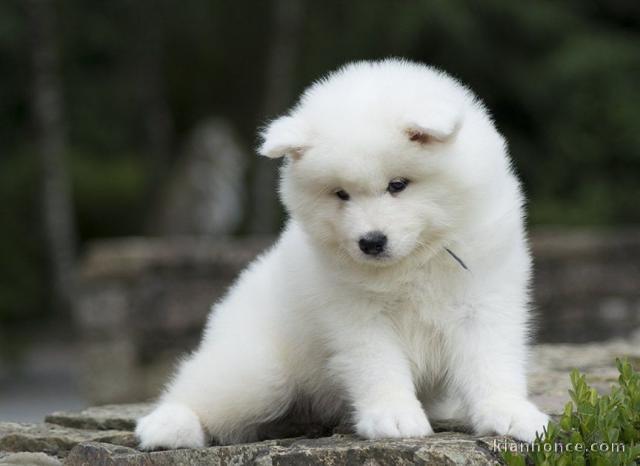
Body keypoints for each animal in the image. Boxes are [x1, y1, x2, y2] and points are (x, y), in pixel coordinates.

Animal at [138, 58, 548, 448]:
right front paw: (394, 417)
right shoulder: (358, 316)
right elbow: (378, 366)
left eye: (397, 185)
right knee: (197, 387)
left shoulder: (482, 300)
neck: (416, 259)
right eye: (341, 194)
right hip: (260, 371)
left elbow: (491, 362)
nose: (371, 241)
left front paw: (511, 414)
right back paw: (167, 426)